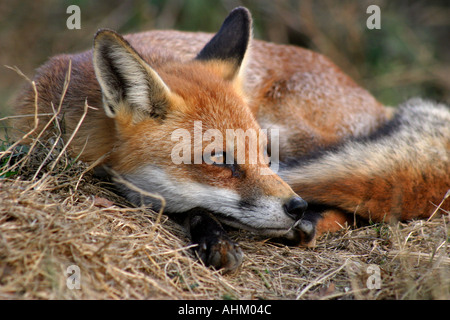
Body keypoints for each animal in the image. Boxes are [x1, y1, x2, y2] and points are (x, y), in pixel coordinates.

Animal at [12, 7, 448, 272]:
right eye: (220, 160)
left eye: (263, 153)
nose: (295, 206)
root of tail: (376, 102)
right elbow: (193, 206)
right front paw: (214, 238)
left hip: (294, 131)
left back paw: (315, 221)